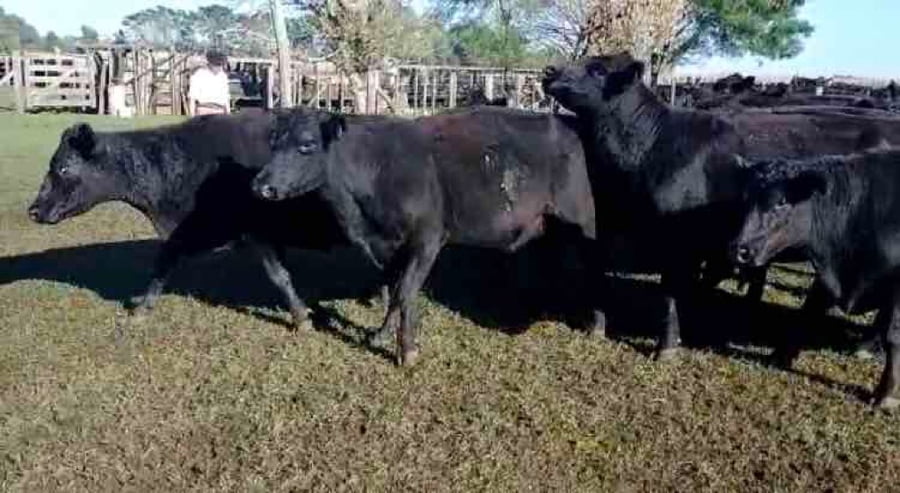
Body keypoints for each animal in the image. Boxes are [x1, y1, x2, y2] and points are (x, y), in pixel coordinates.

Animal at [27, 109, 375, 329]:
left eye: (63, 168)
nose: (33, 210)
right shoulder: (185, 234)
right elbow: (162, 266)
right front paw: (142, 308)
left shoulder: (255, 231)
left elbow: (279, 276)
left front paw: (301, 318)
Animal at [251, 107, 599, 366]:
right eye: (273, 142)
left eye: (307, 144)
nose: (261, 185)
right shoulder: (389, 246)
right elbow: (394, 290)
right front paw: (381, 334)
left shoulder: (427, 240)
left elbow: (405, 292)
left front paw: (407, 351)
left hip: (583, 223)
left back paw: (595, 327)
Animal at [733, 148, 900, 408]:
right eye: (745, 199)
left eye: (781, 201)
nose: (740, 250)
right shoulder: (825, 276)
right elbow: (808, 311)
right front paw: (779, 356)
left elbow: (893, 336)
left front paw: (884, 393)